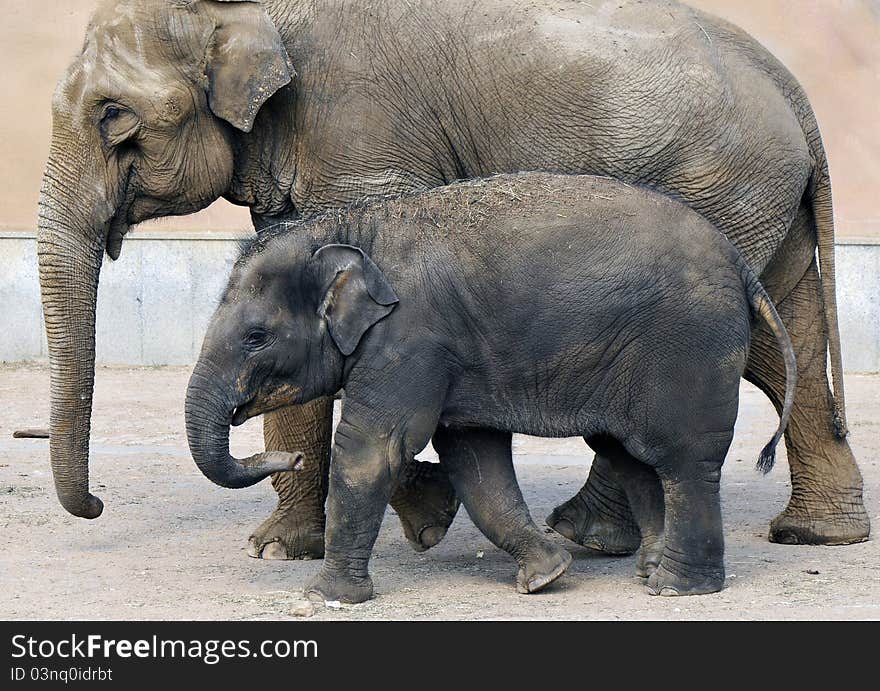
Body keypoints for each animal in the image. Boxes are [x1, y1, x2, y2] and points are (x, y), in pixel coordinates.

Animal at [37, 0, 868, 556]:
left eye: (113, 117)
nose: (101, 503)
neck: (243, 12)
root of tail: (790, 87)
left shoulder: (360, 133)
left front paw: (420, 514)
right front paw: (284, 547)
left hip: (718, 187)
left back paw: (587, 534)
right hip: (760, 203)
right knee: (781, 339)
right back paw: (819, 533)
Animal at [186, 174, 796, 604]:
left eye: (256, 337)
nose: (288, 457)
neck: (351, 228)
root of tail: (740, 264)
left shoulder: (410, 339)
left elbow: (371, 449)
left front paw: (325, 598)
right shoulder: (449, 353)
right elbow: (474, 457)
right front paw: (546, 576)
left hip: (688, 348)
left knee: (683, 461)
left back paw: (675, 588)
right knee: (631, 456)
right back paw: (650, 572)